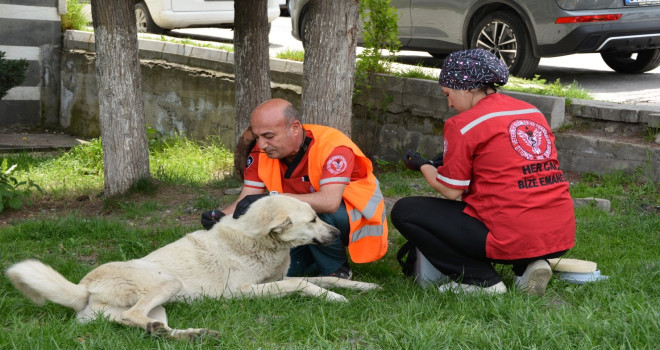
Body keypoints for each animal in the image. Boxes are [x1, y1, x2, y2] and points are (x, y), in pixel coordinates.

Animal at [3, 194, 382, 340]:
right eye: (313, 219)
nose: (337, 233)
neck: (259, 242)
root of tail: (84, 289)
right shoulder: (241, 292)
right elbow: (303, 284)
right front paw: (336, 300)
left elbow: (326, 279)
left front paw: (365, 287)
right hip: (167, 283)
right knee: (133, 317)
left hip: (161, 306)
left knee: (147, 326)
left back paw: (192, 334)